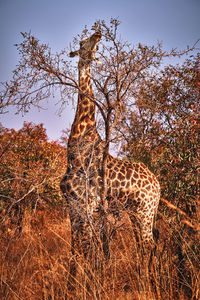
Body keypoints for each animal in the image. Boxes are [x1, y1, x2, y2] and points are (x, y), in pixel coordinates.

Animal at [60, 31, 160, 262]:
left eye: (96, 46)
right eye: (82, 43)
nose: (97, 34)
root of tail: (158, 185)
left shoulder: (87, 204)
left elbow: (87, 250)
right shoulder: (72, 205)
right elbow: (74, 252)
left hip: (146, 211)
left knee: (149, 245)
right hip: (135, 212)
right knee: (142, 246)